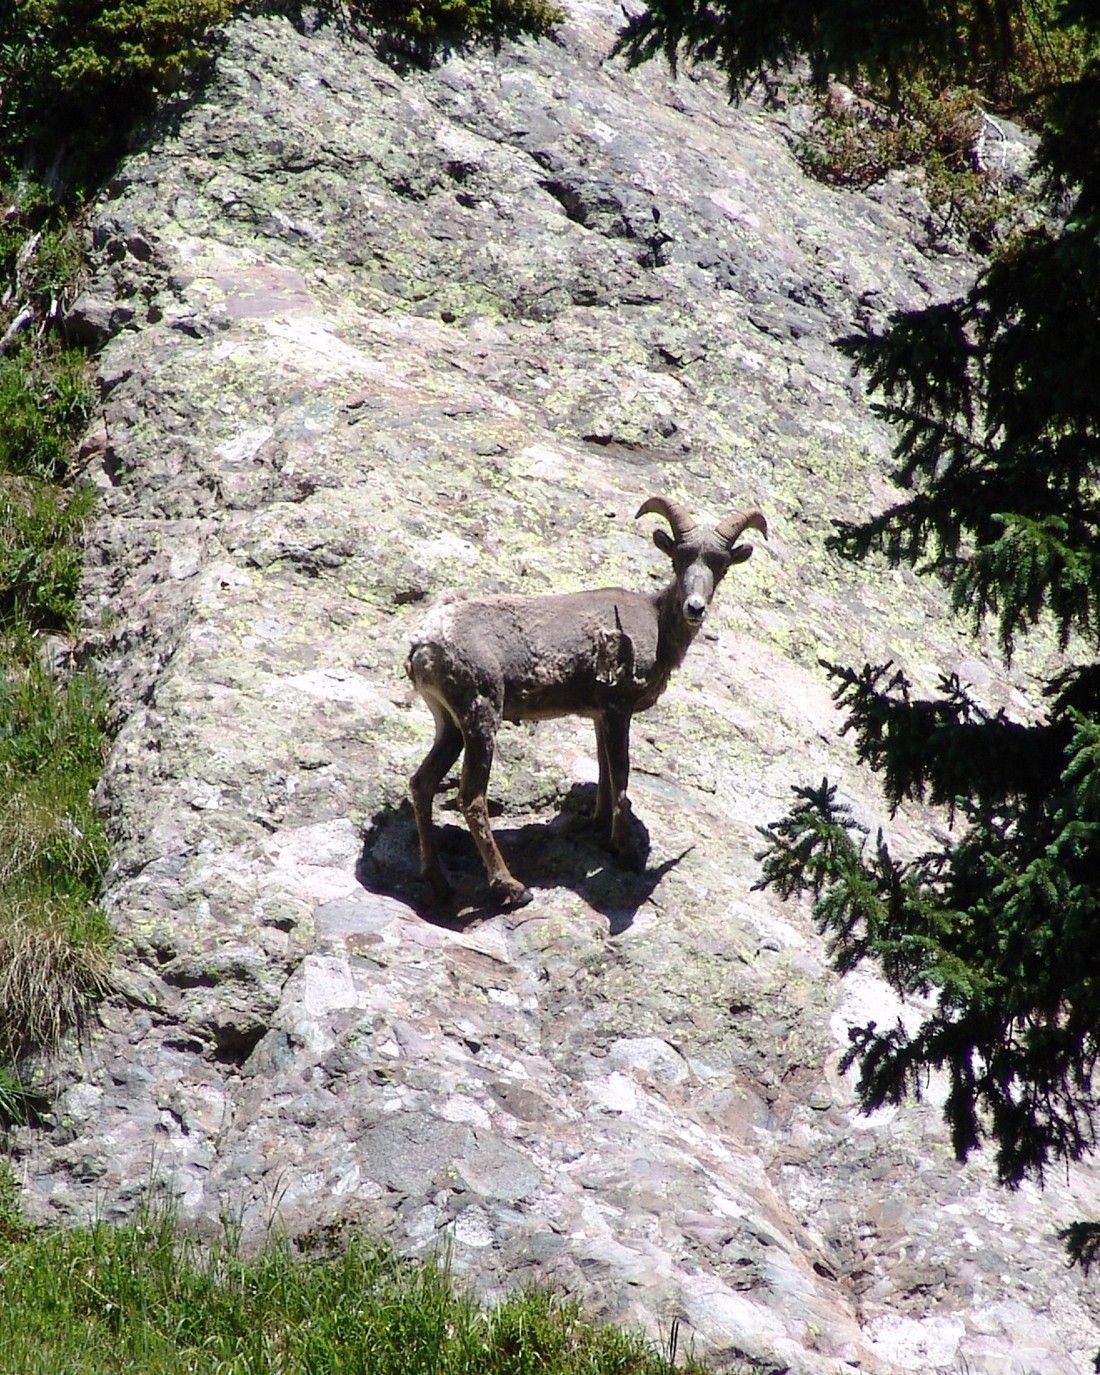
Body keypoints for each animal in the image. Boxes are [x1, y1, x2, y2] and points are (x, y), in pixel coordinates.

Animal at [404, 500, 764, 907]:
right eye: (678, 559)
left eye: (721, 566)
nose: (695, 607)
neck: (658, 624)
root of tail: (425, 644)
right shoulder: (617, 709)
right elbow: (620, 774)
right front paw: (621, 849)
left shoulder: (598, 716)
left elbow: (604, 771)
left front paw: (598, 828)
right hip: (480, 718)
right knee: (472, 798)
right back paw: (513, 888)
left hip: (449, 726)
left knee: (422, 784)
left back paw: (440, 884)